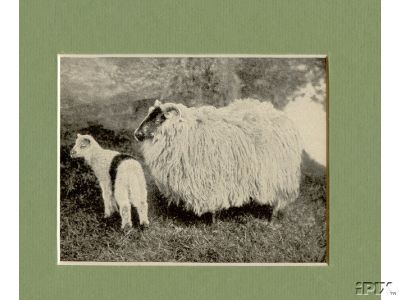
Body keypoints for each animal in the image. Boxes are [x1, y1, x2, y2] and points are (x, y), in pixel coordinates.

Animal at [133, 99, 302, 219]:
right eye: (149, 114)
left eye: (161, 117)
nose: (137, 134)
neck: (186, 132)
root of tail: (277, 113)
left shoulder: (210, 180)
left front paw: (211, 221)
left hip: (280, 176)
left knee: (278, 199)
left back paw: (271, 219)